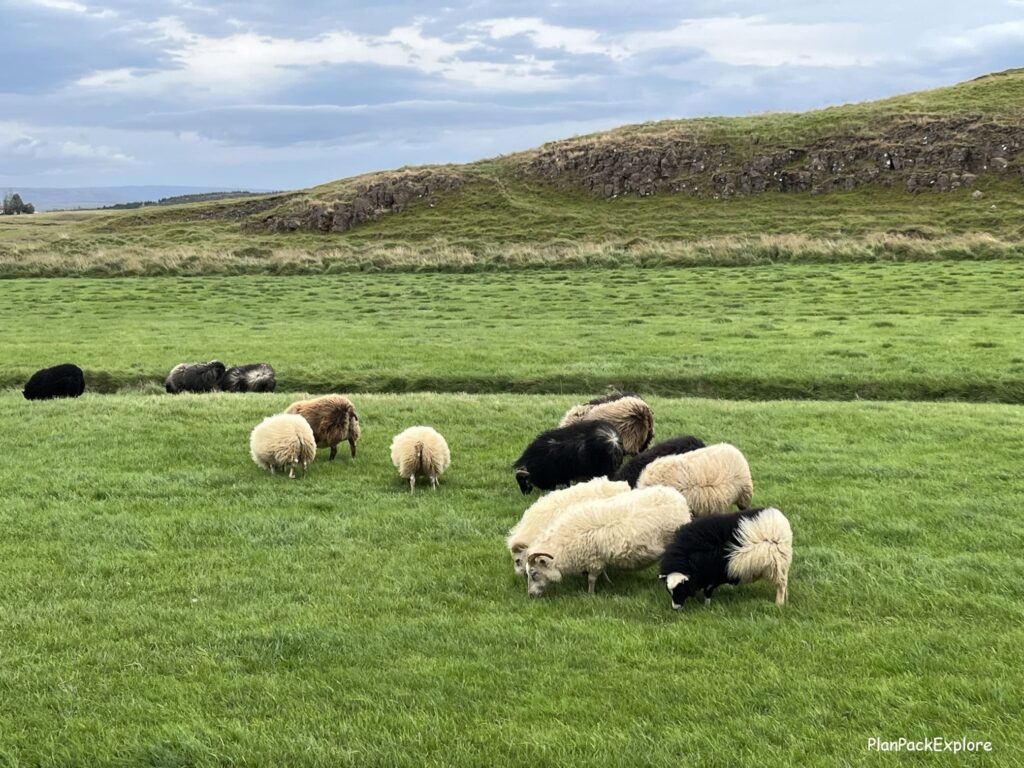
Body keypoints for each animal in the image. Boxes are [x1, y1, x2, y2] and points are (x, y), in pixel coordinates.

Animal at [524, 483, 692, 598]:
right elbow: (603, 572)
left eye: (534, 573)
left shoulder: (593, 560)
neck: (563, 544)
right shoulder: (600, 557)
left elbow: (591, 579)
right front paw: (608, 582)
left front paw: (590, 595)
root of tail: (679, 499)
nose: (531, 595)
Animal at [659, 507, 794, 610]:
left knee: (781, 585)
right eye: (669, 591)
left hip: (777, 565)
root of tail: (781, 519)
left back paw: (779, 603)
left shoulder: (711, 575)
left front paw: (706, 606)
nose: (676, 608)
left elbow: (708, 592)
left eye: (681, 590)